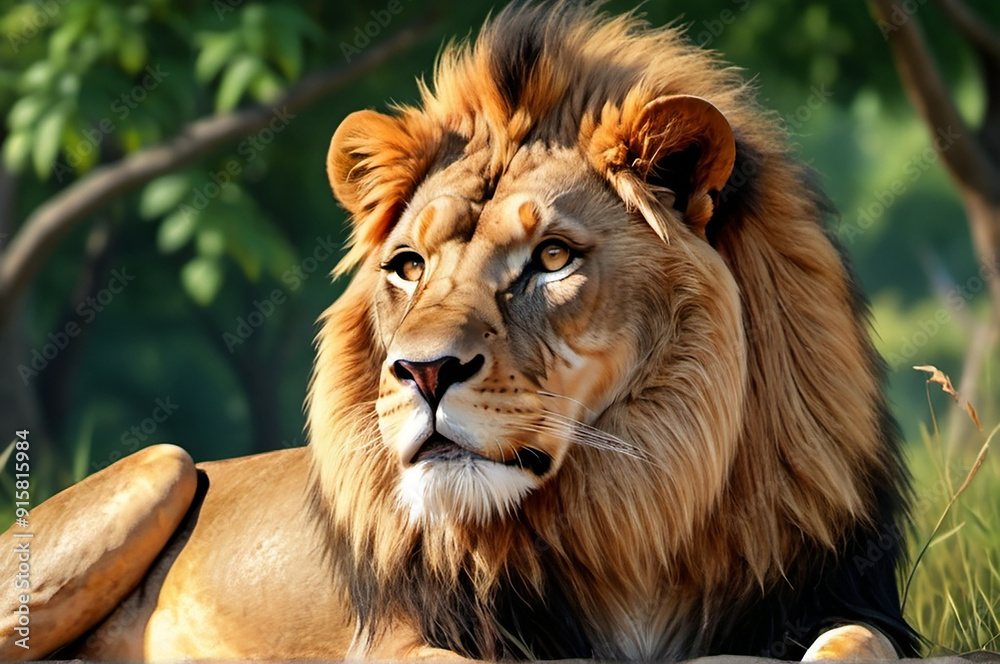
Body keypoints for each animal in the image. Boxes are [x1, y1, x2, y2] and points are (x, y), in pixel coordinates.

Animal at [1, 3, 918, 661]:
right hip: (156, 469)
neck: (637, 510)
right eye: (408, 266)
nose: (424, 373)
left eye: (552, 258)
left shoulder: (844, 604)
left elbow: (851, 646)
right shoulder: (403, 639)